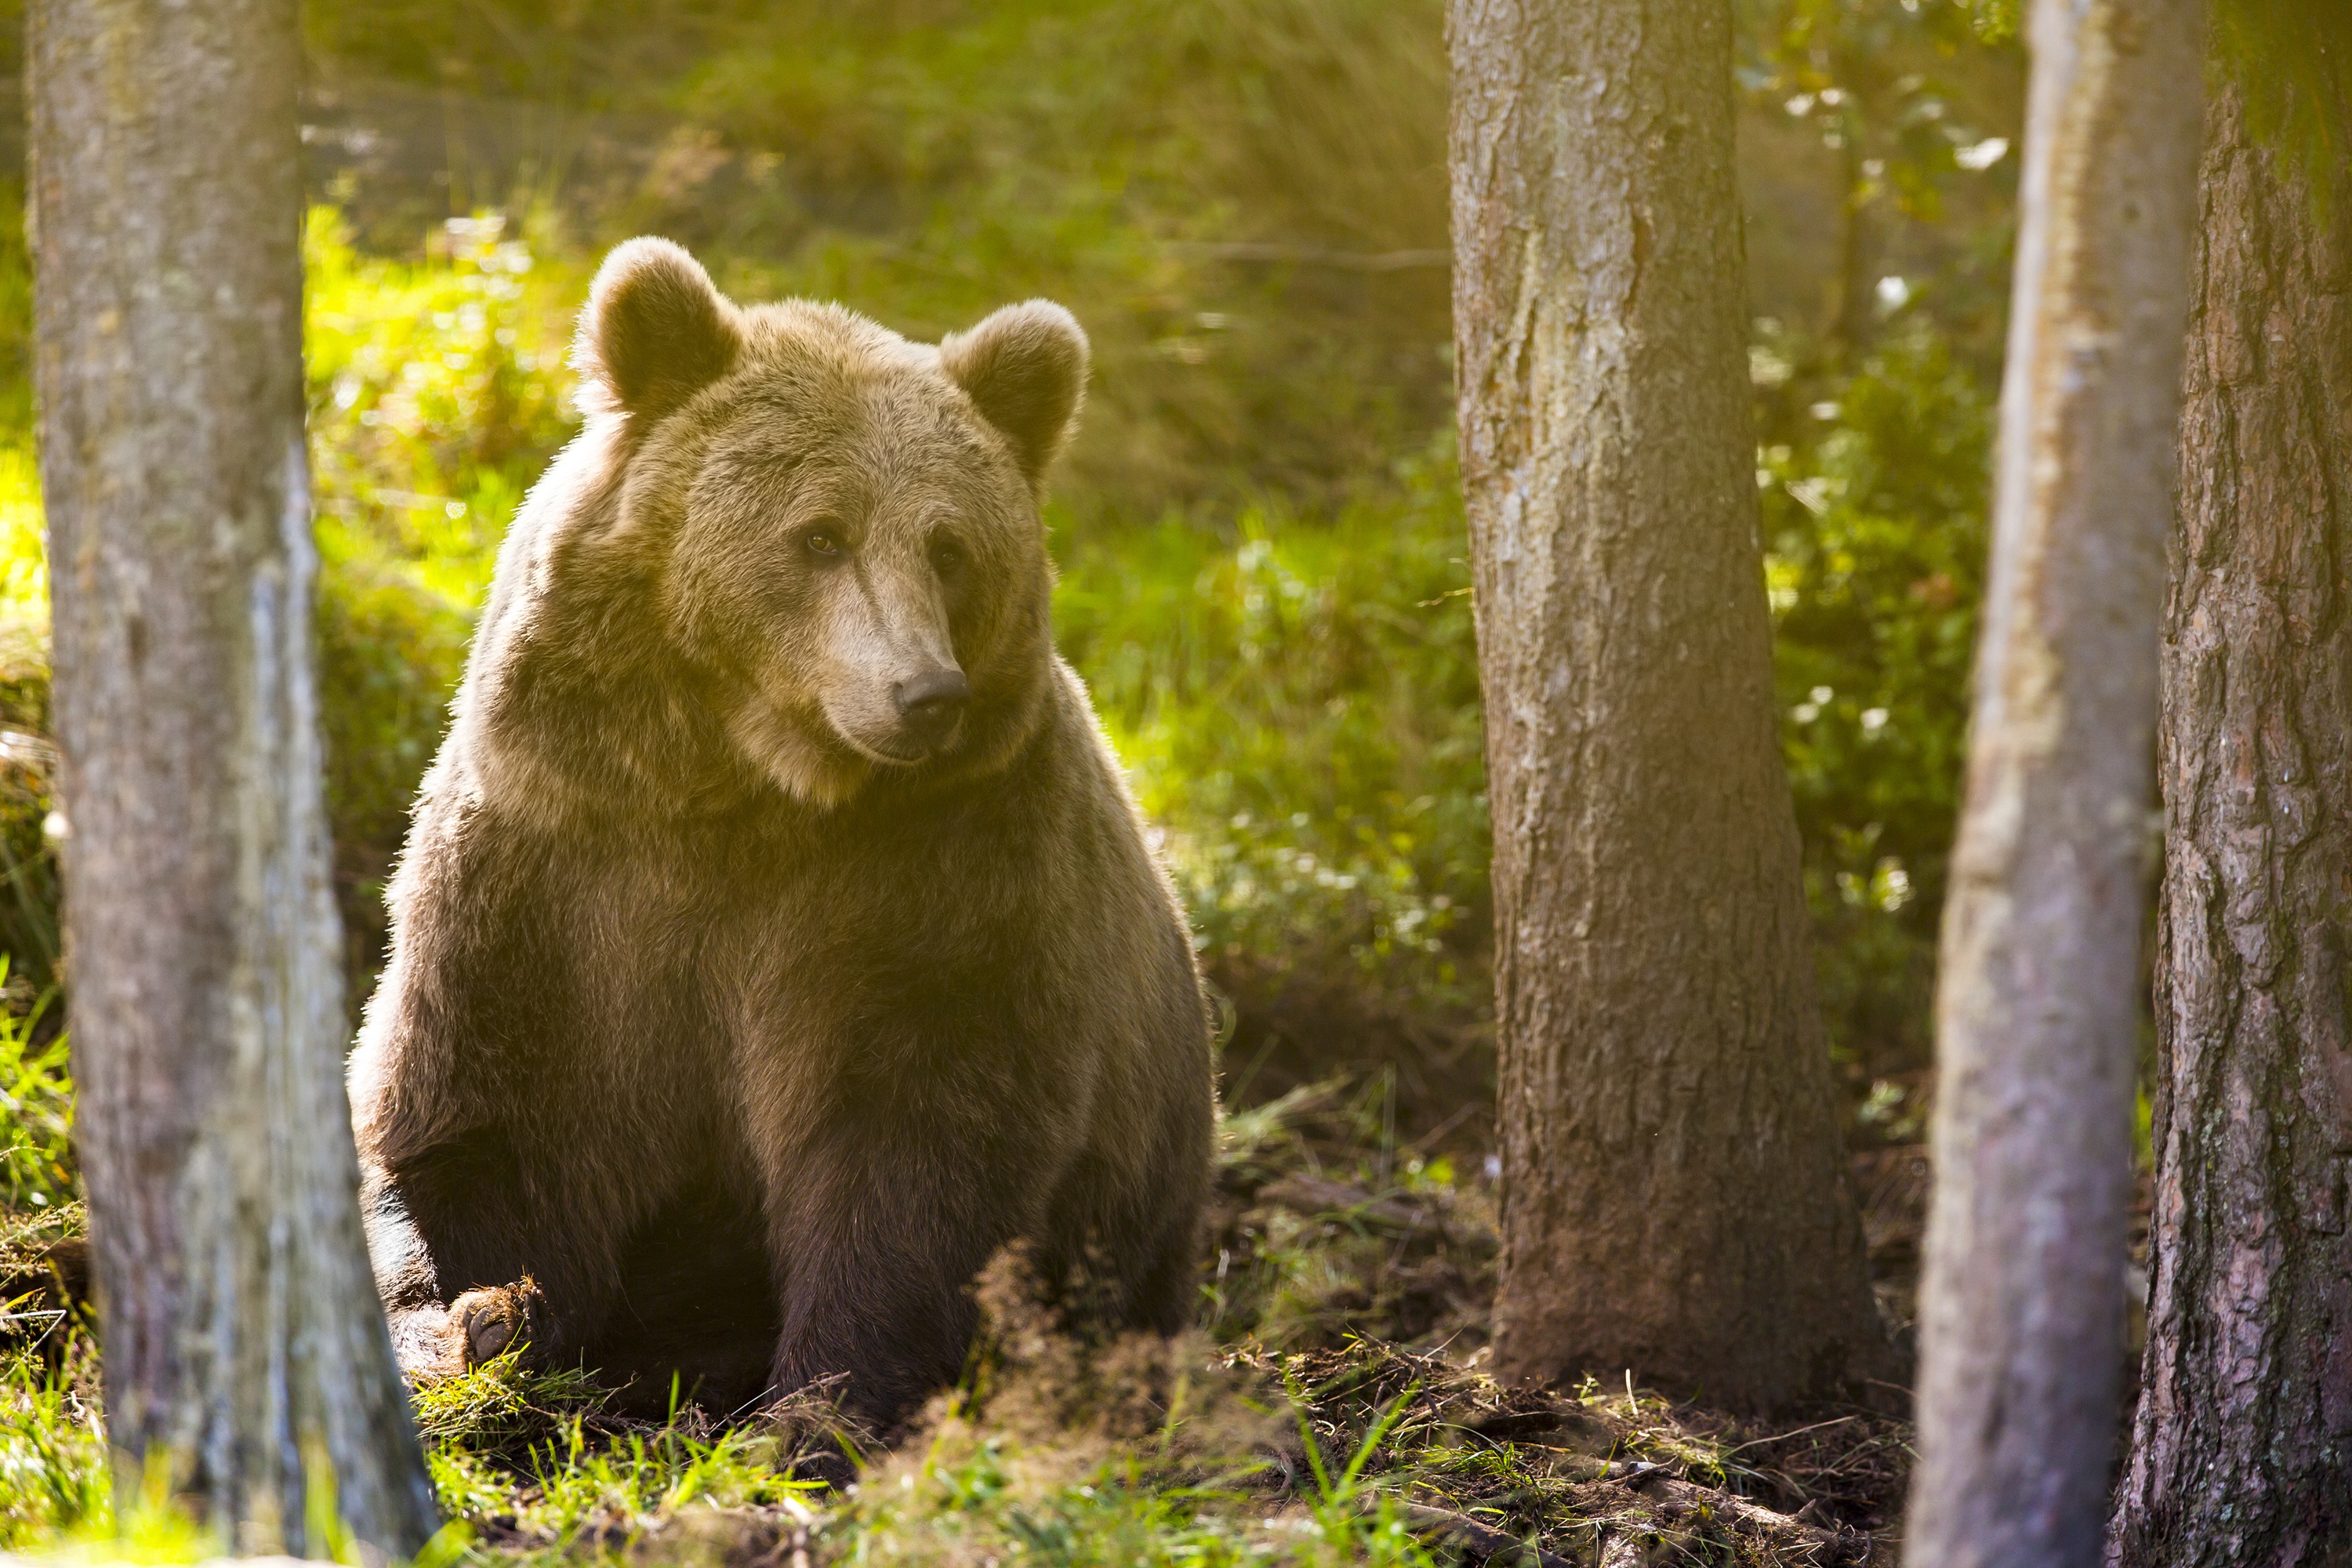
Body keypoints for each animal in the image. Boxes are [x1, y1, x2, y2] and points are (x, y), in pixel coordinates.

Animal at [353, 239, 1232, 1429]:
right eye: (821, 533)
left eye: (949, 545)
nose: (926, 693)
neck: (751, 789)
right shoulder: (554, 865)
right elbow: (477, 1120)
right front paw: (472, 1322)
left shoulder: (946, 886)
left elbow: (913, 1164)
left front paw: (822, 1407)